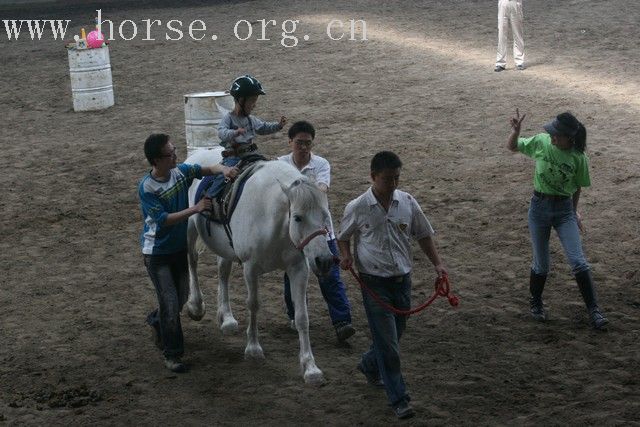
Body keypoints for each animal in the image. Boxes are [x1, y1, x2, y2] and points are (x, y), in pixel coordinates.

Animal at [185, 147, 336, 384]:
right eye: (298, 217)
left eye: (325, 215)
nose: (324, 260)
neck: (273, 217)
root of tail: (197, 154)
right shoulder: (250, 268)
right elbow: (254, 305)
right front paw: (253, 348)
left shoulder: (299, 269)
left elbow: (302, 317)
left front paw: (311, 368)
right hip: (190, 227)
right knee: (192, 260)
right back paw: (196, 306)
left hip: (225, 247)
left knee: (222, 273)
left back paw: (227, 318)